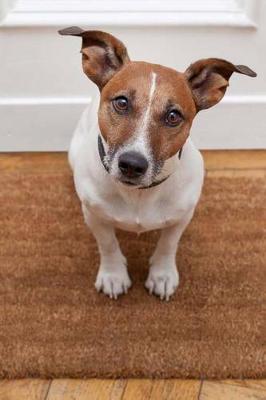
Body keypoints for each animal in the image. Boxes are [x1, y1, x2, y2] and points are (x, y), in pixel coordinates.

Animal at [58, 27, 256, 300]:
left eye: (174, 116)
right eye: (121, 102)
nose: (132, 164)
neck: (139, 195)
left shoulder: (182, 217)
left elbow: (168, 244)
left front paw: (162, 275)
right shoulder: (95, 216)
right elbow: (108, 244)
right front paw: (113, 275)